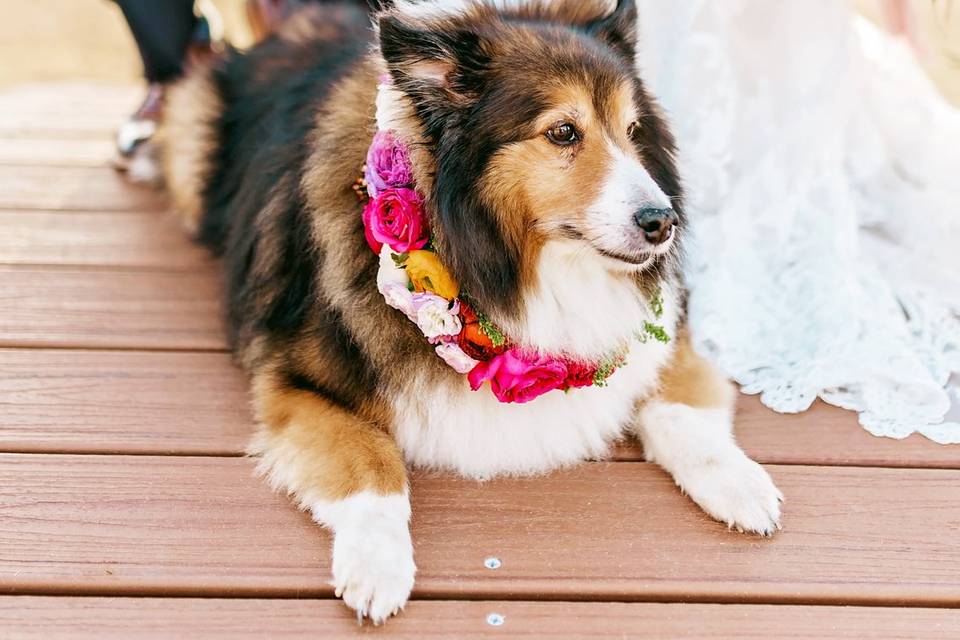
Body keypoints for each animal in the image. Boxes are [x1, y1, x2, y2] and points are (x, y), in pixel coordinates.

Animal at [161, 0, 784, 620]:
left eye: (633, 131)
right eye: (563, 132)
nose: (662, 222)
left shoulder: (660, 334)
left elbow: (679, 410)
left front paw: (740, 485)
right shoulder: (297, 380)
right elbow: (372, 462)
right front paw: (377, 563)